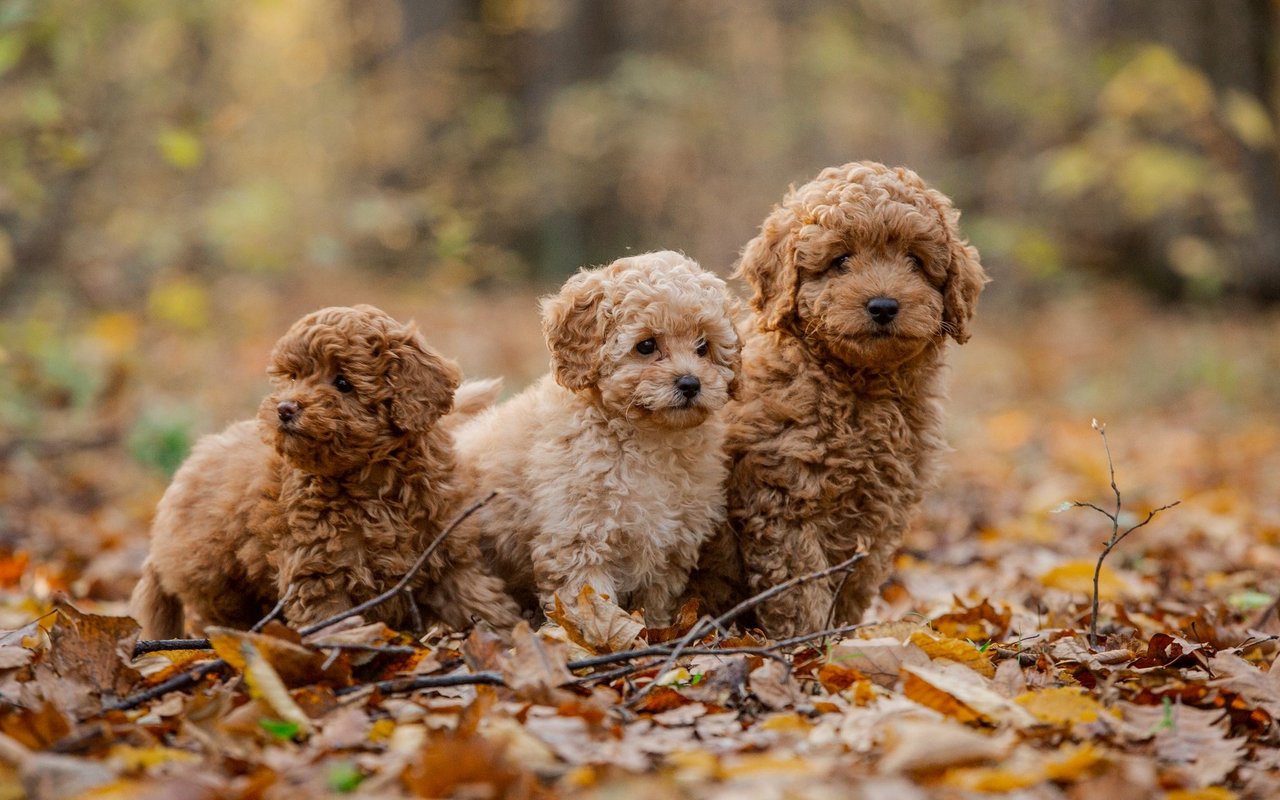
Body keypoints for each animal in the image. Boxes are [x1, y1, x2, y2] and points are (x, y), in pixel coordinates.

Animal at [455, 249, 747, 624]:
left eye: (703, 346)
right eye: (646, 345)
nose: (690, 383)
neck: (649, 439)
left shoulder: (669, 547)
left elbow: (654, 606)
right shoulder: (579, 537)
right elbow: (593, 606)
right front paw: (601, 637)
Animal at [691, 162, 988, 637]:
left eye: (914, 261)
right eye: (841, 260)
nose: (883, 305)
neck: (859, 386)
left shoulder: (882, 508)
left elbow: (856, 581)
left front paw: (845, 636)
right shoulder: (784, 497)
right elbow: (799, 586)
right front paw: (812, 642)